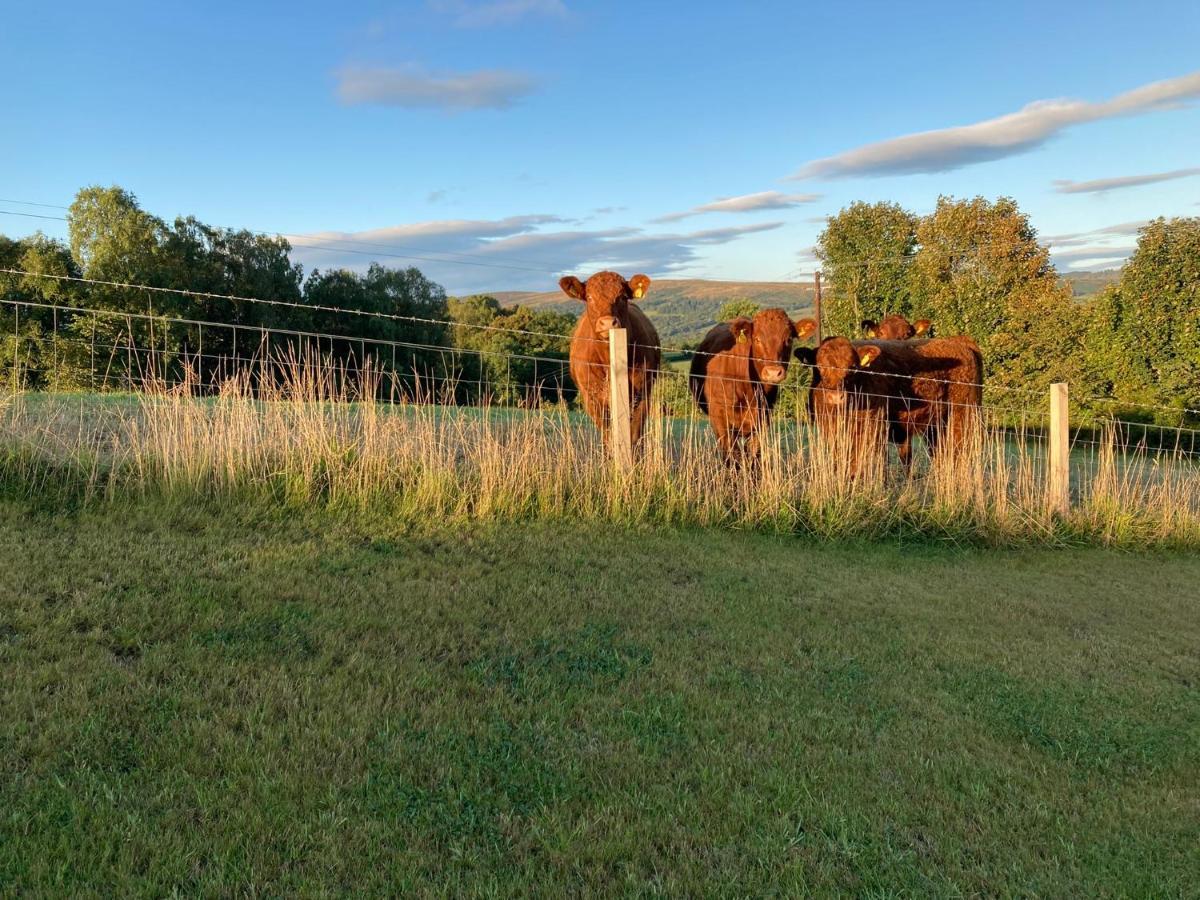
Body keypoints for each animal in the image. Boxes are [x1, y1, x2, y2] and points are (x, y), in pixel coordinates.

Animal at [564, 270, 667, 448]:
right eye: (589, 297)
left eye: (623, 297)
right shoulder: (592, 398)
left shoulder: (643, 394)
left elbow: (634, 435)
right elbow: (608, 436)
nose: (607, 323)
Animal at [686, 309, 816, 465]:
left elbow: (754, 456)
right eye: (757, 339)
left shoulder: (762, 420)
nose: (773, 372)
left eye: (789, 339)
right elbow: (732, 457)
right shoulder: (720, 421)